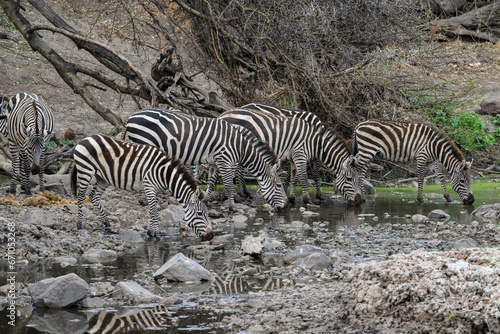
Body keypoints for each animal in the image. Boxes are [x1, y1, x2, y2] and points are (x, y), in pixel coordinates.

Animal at [69, 134, 212, 241]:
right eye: (200, 214)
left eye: (207, 214)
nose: (211, 235)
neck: (163, 173)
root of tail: (86, 138)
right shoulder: (149, 186)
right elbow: (154, 210)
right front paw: (157, 234)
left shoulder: (156, 190)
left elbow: (152, 209)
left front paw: (150, 232)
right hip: (85, 170)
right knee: (81, 197)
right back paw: (80, 225)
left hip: (102, 178)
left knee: (94, 197)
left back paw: (108, 225)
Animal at [121, 108, 288, 210]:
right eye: (279, 185)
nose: (286, 205)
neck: (239, 145)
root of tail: (131, 116)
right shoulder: (224, 160)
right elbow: (229, 185)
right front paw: (232, 207)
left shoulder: (214, 162)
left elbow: (211, 183)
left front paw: (206, 201)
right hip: (144, 143)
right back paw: (144, 200)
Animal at [217, 107, 362, 206]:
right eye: (349, 179)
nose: (358, 201)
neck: (314, 142)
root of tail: (222, 115)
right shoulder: (300, 154)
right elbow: (303, 177)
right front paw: (308, 200)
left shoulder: (293, 156)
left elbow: (293, 175)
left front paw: (292, 198)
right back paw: (237, 196)